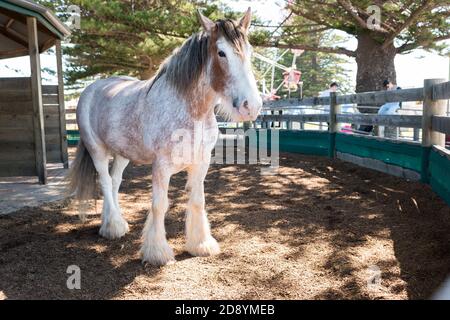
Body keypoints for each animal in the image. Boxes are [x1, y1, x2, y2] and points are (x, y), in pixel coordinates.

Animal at [68, 9, 262, 264]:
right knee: (105, 181)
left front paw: (201, 244)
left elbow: (198, 201)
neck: (190, 111)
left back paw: (111, 220)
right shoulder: (161, 166)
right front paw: (157, 252)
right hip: (97, 151)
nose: (252, 106)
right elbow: (159, 205)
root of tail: (92, 89)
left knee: (115, 181)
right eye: (222, 52)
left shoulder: (201, 164)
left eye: (249, 52)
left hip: (122, 154)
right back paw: (114, 227)